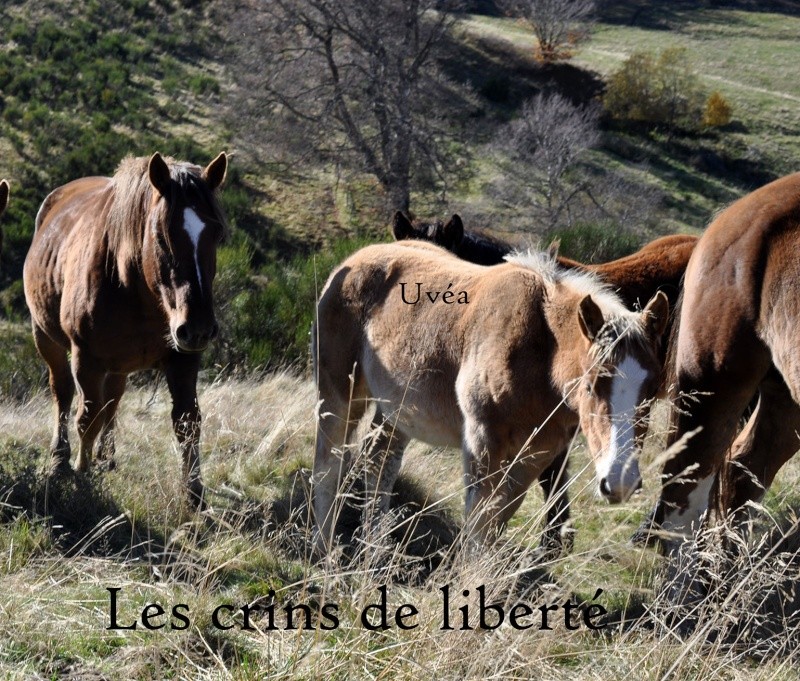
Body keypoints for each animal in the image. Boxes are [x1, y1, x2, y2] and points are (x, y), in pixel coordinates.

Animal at [23, 154, 228, 504]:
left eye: (215, 234)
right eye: (161, 235)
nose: (198, 328)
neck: (133, 286)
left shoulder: (184, 359)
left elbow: (188, 421)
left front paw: (194, 494)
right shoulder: (86, 359)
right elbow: (87, 418)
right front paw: (81, 473)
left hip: (120, 363)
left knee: (113, 398)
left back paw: (106, 457)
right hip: (46, 338)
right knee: (63, 393)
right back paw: (61, 458)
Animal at [312, 242, 668, 556]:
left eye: (651, 391)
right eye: (591, 385)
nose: (620, 482)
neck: (539, 348)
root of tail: (353, 260)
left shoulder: (537, 454)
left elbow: (499, 519)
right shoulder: (483, 441)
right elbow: (479, 524)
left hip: (398, 410)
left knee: (379, 460)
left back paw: (374, 551)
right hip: (340, 394)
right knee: (329, 464)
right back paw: (324, 551)